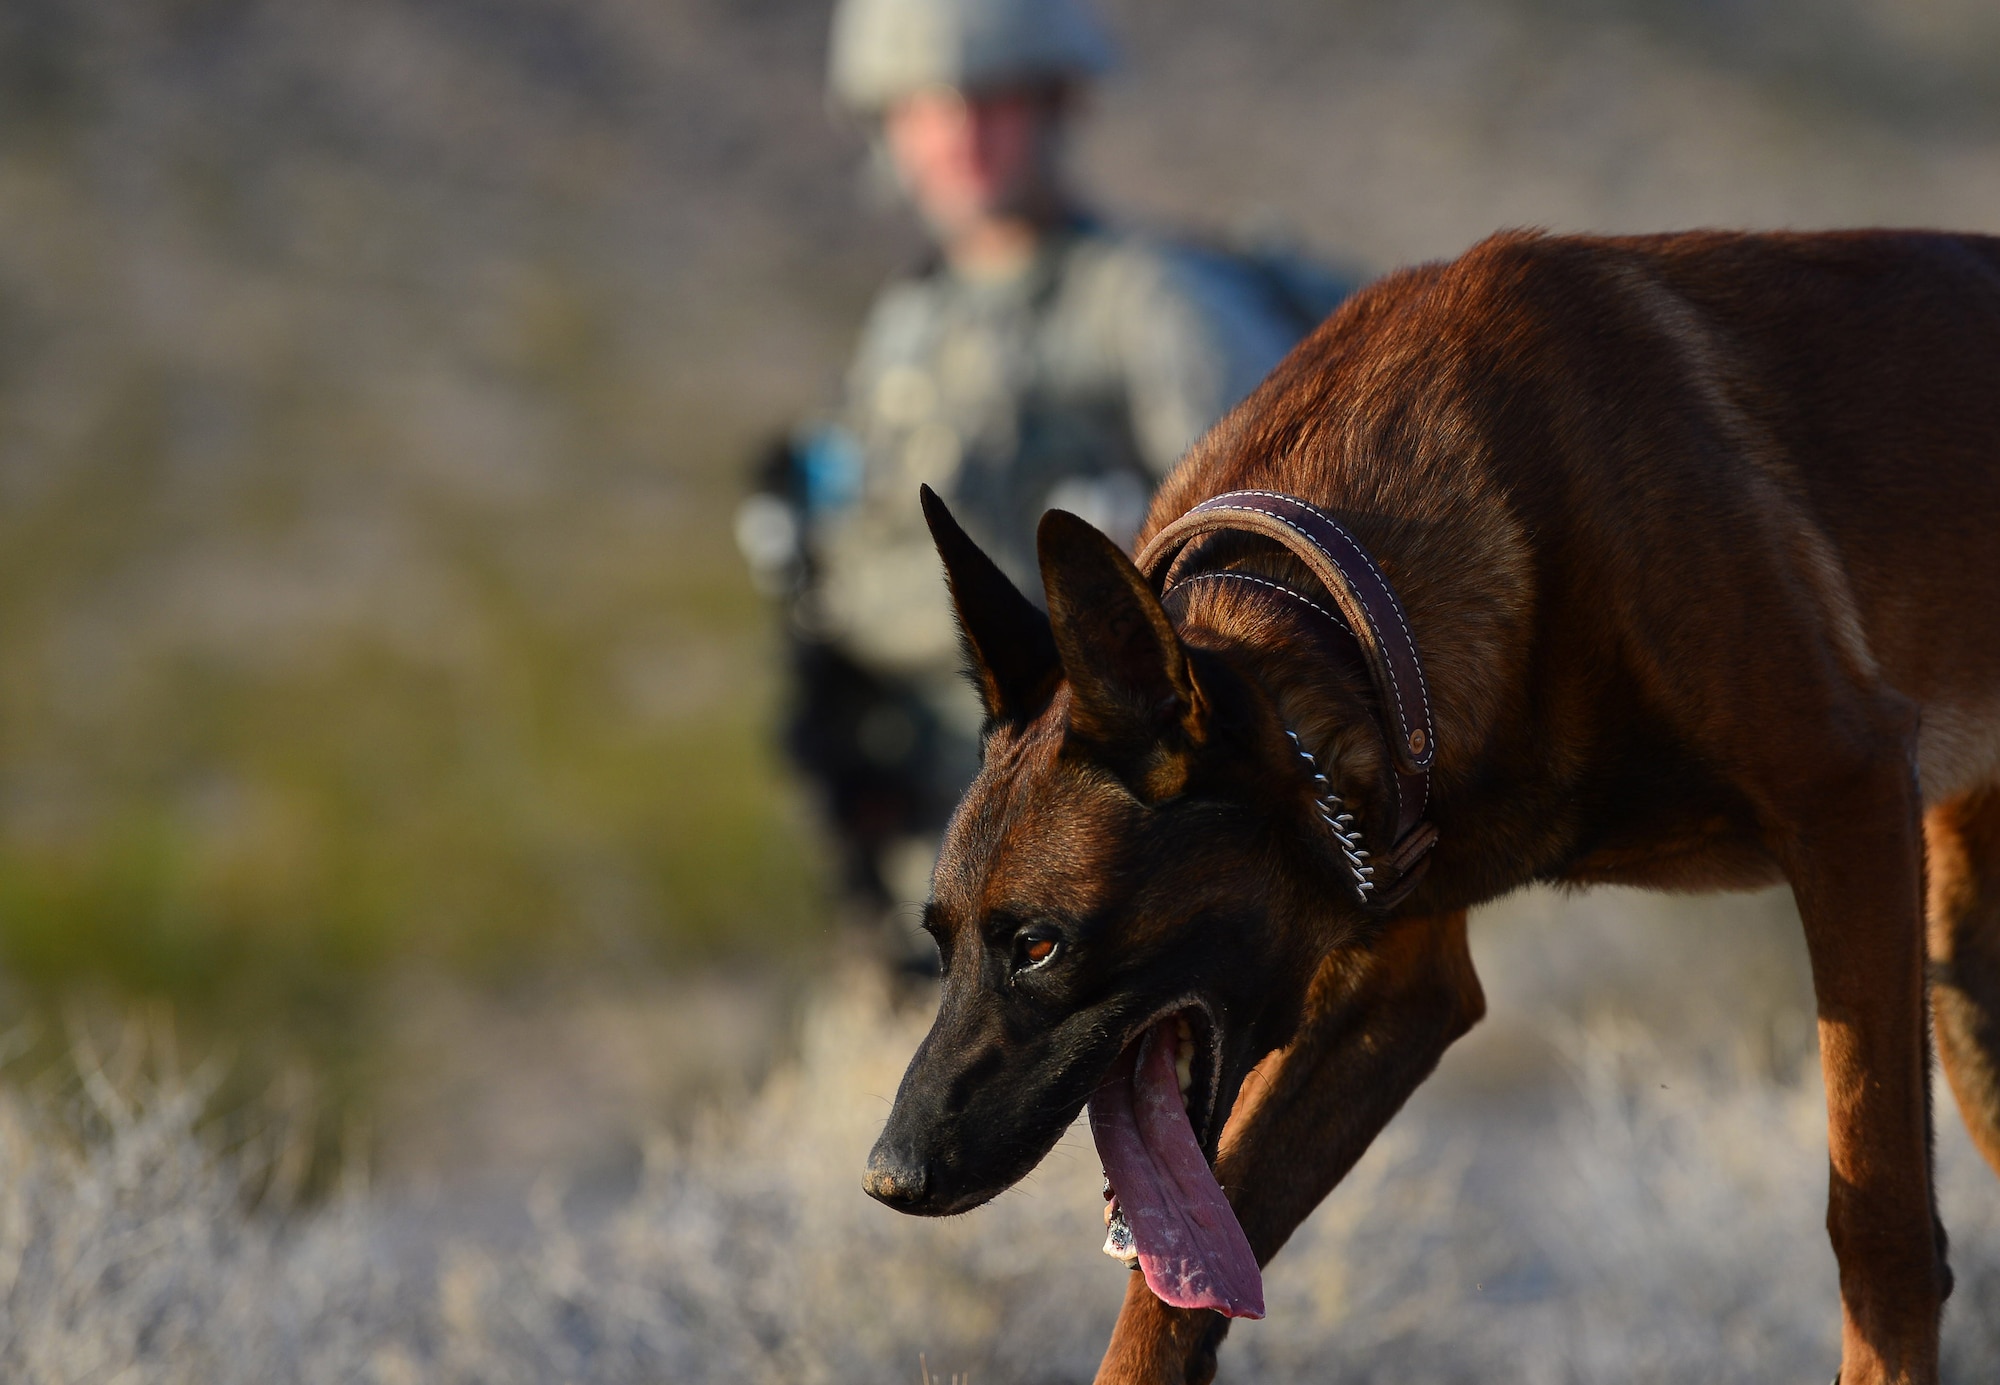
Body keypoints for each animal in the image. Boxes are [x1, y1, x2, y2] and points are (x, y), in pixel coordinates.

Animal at [856, 232, 2000, 1376]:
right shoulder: (1394, 985)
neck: (1344, 598)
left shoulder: (1845, 800)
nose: (886, 1177)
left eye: (1039, 945)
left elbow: (1879, 1221)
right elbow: (1161, 1309)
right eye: (937, 941)